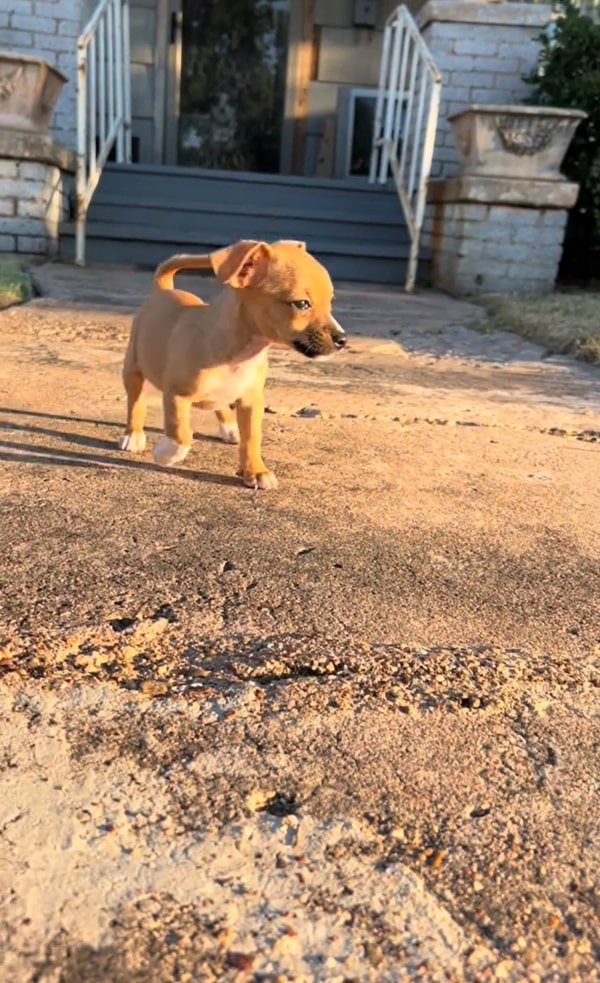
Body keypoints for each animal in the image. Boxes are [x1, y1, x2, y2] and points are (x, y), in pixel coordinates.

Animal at [118, 239, 346, 492]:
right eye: (301, 304)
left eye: (330, 301)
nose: (342, 340)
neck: (241, 355)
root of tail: (164, 290)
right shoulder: (176, 395)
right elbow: (181, 433)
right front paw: (165, 455)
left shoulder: (251, 400)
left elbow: (252, 438)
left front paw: (255, 471)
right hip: (133, 368)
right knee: (136, 402)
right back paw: (133, 435)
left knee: (219, 405)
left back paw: (229, 428)